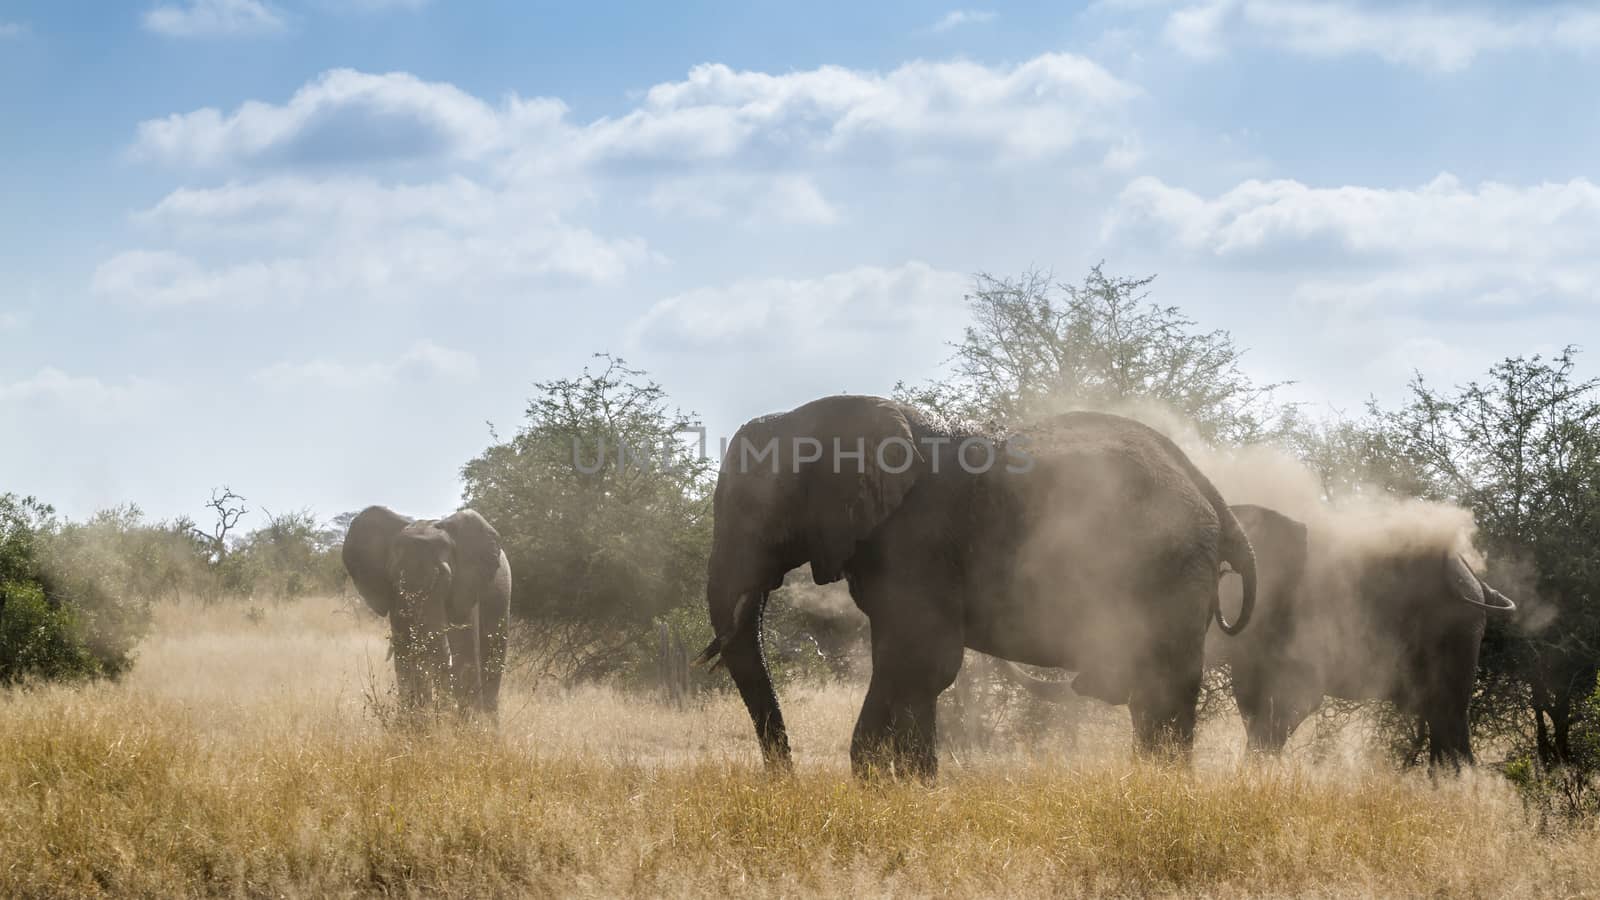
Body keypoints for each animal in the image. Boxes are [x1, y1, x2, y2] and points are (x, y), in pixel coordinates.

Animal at [694, 393, 1254, 778]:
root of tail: (1210, 491)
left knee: (1163, 682)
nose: (784, 779)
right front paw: (892, 784)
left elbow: (922, 662)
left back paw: (1159, 787)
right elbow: (902, 662)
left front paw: (899, 785)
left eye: (755, 513)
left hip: (1170, 564)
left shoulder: (917, 538)